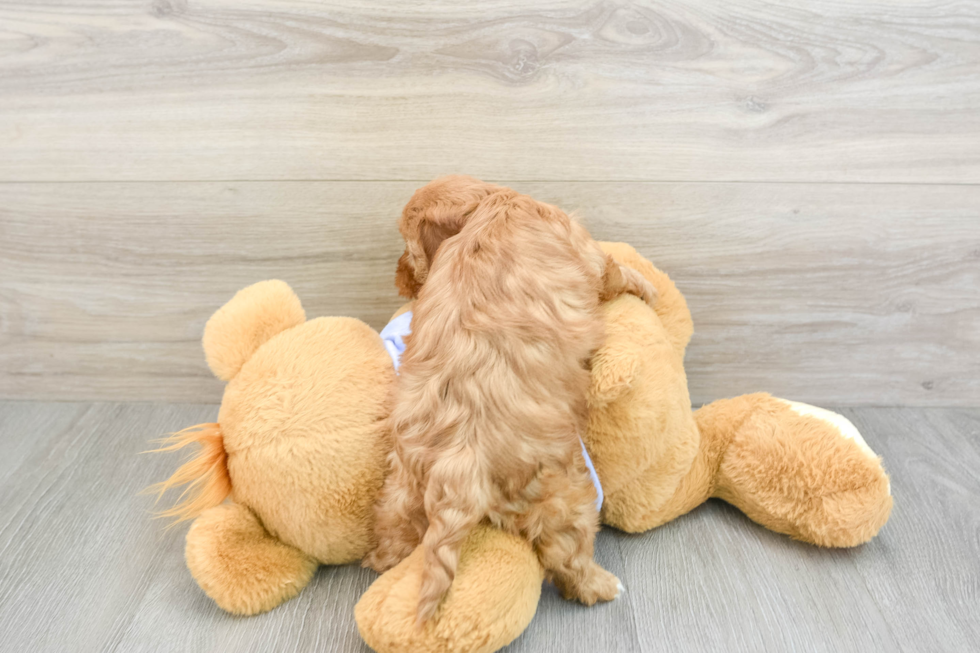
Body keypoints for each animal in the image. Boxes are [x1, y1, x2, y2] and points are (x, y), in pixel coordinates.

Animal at [364, 177, 656, 620]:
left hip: (404, 481)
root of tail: (458, 461)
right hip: (560, 492)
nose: (399, 278)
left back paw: (384, 564)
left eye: (408, 248)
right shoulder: (586, 253)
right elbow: (615, 271)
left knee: (396, 529)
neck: (493, 202)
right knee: (566, 554)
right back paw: (602, 586)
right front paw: (649, 288)